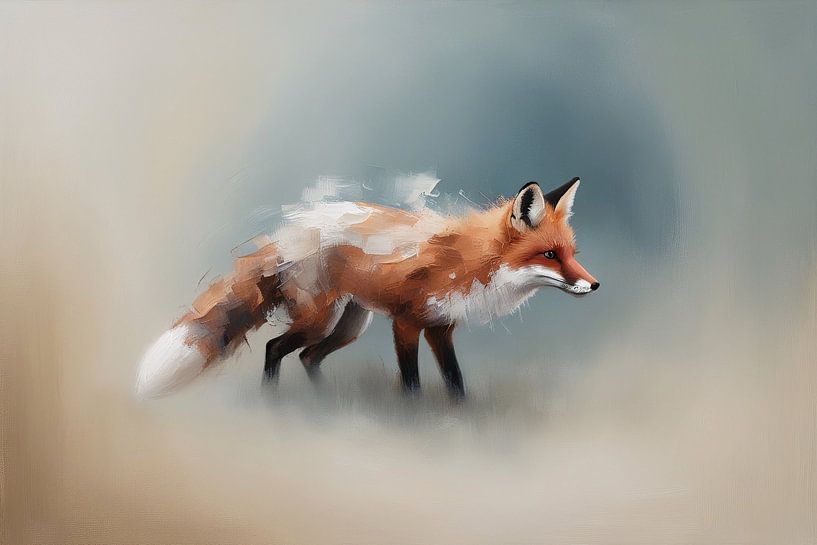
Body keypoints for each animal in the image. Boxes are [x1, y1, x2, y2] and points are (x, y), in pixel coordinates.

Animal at [136, 177, 599, 399]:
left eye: (571, 253)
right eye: (550, 255)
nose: (594, 284)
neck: (469, 262)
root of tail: (288, 232)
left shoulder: (441, 328)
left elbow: (455, 381)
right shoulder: (406, 323)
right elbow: (411, 383)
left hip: (350, 326)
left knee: (306, 357)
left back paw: (323, 404)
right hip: (320, 320)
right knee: (274, 349)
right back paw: (274, 403)